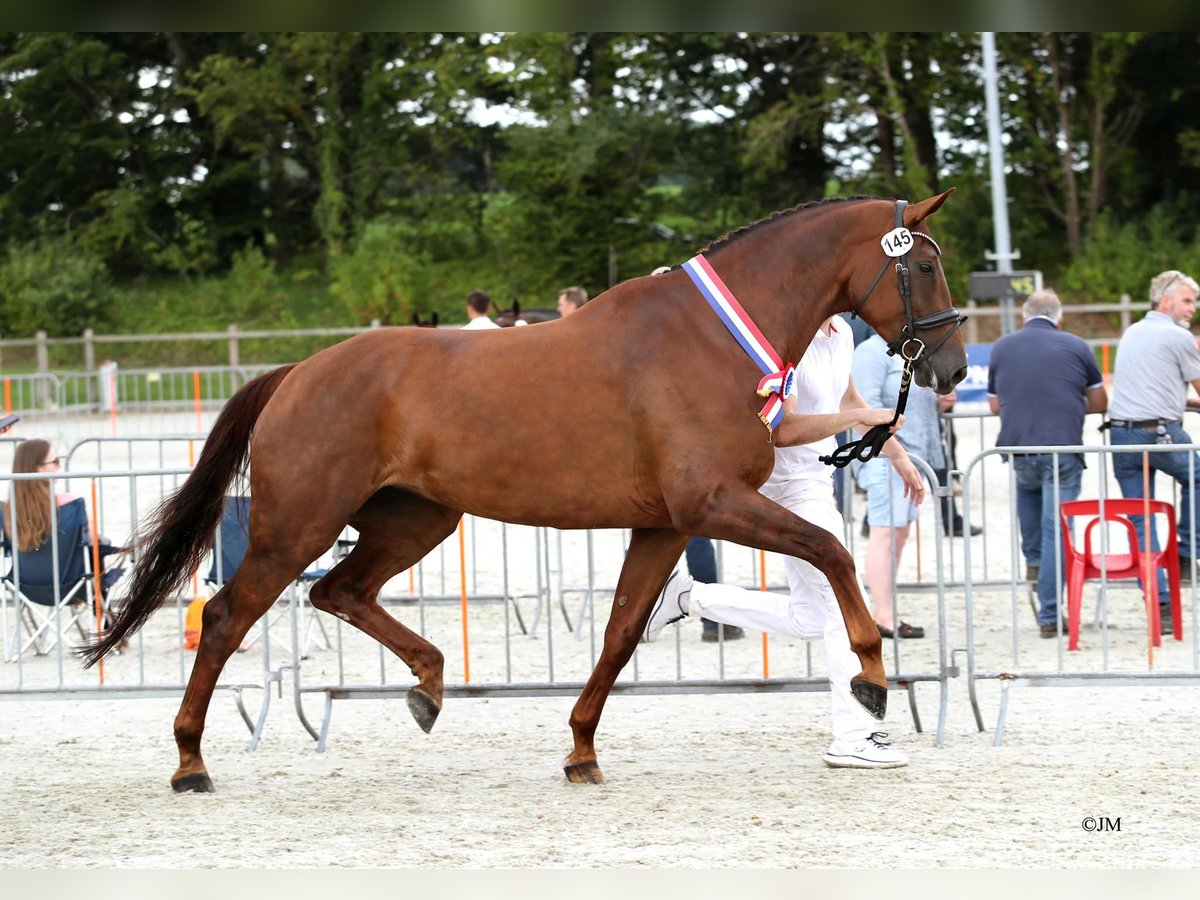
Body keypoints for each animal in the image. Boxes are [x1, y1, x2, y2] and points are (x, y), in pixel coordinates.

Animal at [82, 188, 964, 787]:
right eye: (923, 264)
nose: (952, 369)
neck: (711, 339)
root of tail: (297, 371)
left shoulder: (665, 524)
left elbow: (620, 631)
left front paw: (581, 749)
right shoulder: (711, 503)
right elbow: (832, 553)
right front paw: (872, 677)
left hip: (416, 522)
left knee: (340, 591)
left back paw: (430, 685)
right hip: (297, 524)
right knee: (230, 616)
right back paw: (191, 760)